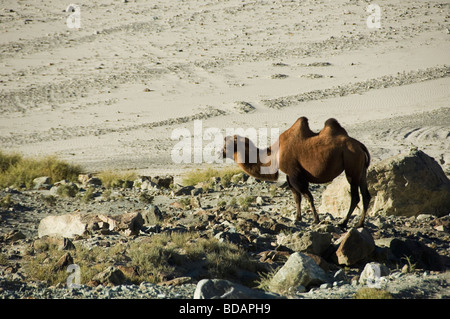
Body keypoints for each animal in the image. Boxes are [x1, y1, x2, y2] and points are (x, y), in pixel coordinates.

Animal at [222, 117, 372, 230]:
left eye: (227, 145)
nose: (220, 152)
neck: (275, 153)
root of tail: (360, 146)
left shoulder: (295, 174)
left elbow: (307, 196)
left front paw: (315, 219)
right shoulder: (290, 176)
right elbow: (297, 197)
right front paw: (298, 218)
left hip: (351, 166)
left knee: (355, 196)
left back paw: (344, 223)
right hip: (361, 170)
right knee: (366, 195)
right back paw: (359, 224)